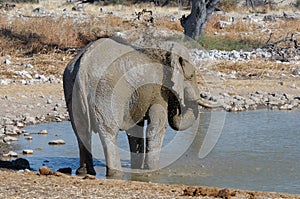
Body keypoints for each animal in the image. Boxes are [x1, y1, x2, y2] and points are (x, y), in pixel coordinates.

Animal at [63, 37, 202, 177]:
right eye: (191, 76)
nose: (178, 108)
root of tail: (83, 64)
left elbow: (135, 128)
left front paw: (138, 168)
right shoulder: (158, 90)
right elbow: (157, 124)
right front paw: (152, 170)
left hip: (71, 85)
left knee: (81, 131)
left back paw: (85, 172)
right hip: (106, 91)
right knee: (108, 131)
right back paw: (116, 173)